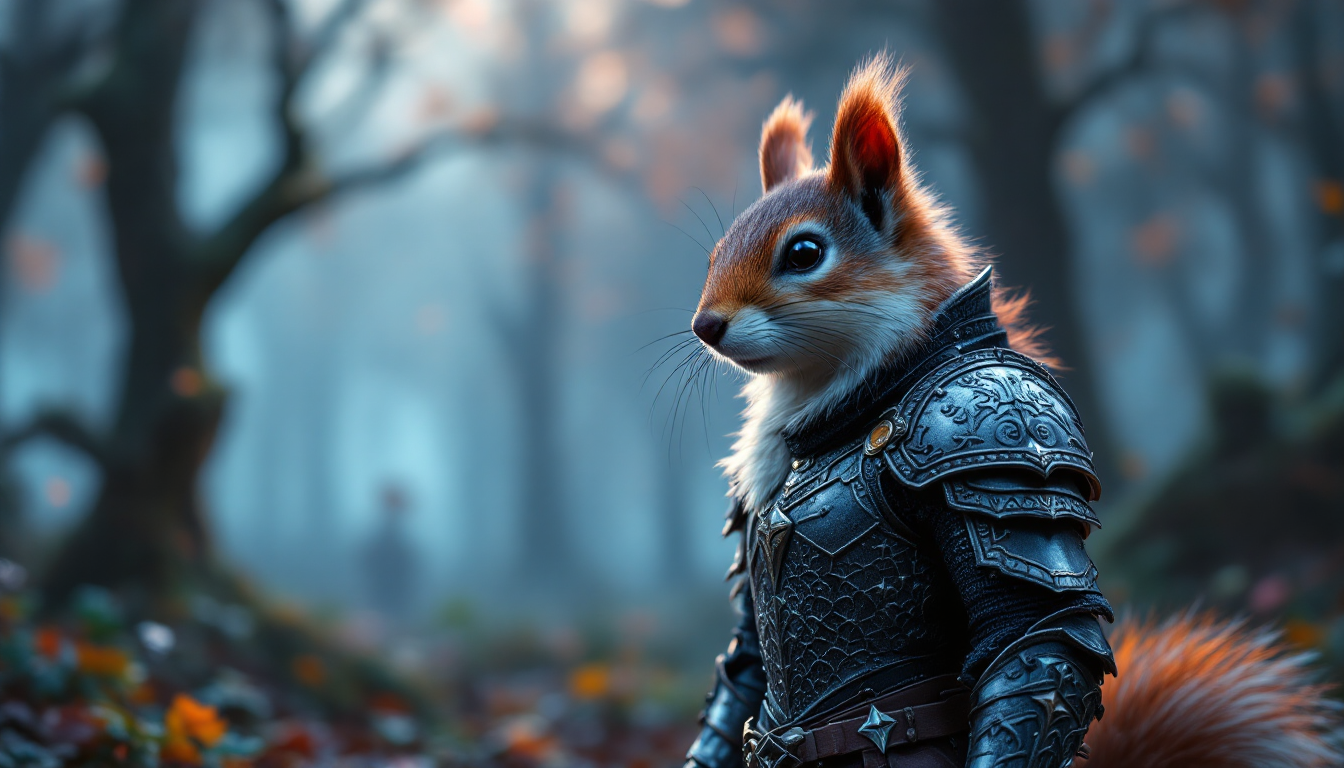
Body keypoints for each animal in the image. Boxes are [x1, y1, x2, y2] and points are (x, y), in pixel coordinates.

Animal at [685, 55, 1341, 768]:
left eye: (804, 252)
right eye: (715, 252)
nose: (704, 326)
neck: (841, 403)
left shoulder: (993, 445)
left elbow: (1033, 631)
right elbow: (747, 650)